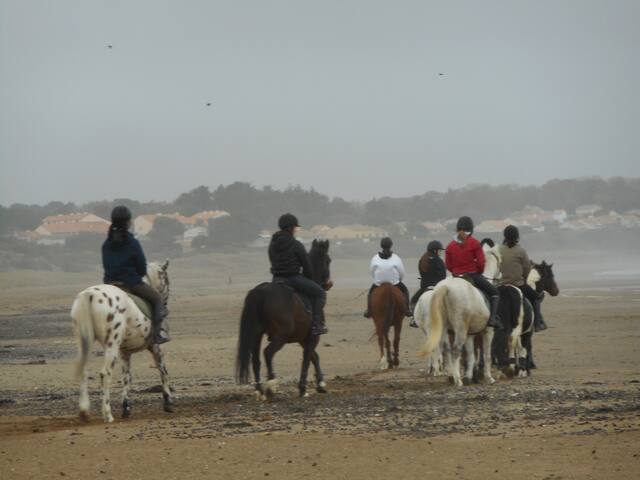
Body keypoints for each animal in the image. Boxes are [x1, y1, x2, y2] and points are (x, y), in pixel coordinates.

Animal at [70, 260, 172, 422]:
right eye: (166, 279)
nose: (165, 301)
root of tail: (89, 295)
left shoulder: (125, 353)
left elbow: (126, 378)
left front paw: (126, 408)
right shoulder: (156, 347)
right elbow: (163, 371)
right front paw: (168, 402)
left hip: (83, 341)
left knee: (83, 370)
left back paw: (84, 411)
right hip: (112, 344)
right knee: (105, 373)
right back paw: (107, 414)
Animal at [236, 238, 336, 400]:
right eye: (328, 260)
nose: (328, 284)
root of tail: (261, 291)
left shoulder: (303, 338)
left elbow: (314, 356)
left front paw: (320, 384)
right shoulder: (313, 336)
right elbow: (307, 358)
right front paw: (303, 388)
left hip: (257, 334)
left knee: (256, 359)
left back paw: (260, 390)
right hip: (280, 336)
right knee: (268, 353)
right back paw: (271, 385)